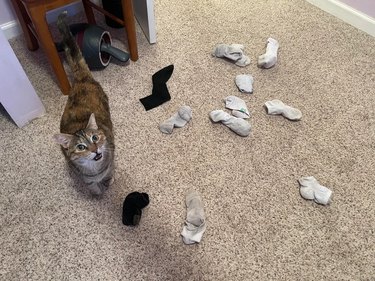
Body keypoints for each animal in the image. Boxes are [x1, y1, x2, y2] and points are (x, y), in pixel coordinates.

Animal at [52, 11, 115, 195]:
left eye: (95, 137)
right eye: (80, 147)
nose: (95, 150)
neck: (95, 170)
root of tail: (81, 79)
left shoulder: (111, 159)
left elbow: (109, 172)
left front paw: (108, 182)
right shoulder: (84, 176)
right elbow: (91, 185)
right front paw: (97, 192)